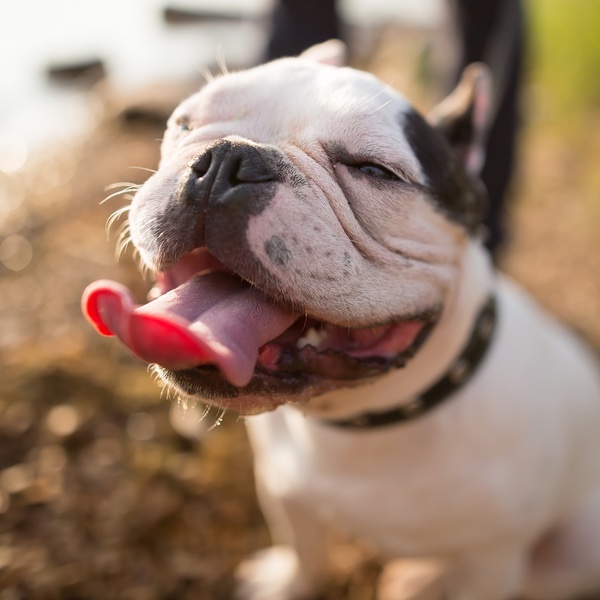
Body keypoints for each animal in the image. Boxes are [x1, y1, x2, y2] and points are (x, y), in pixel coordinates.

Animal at [82, 39, 600, 596]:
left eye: (374, 170)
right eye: (183, 122)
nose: (227, 156)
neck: (360, 422)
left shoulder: (491, 561)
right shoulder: (285, 490)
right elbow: (303, 547)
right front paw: (288, 582)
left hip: (576, 545)